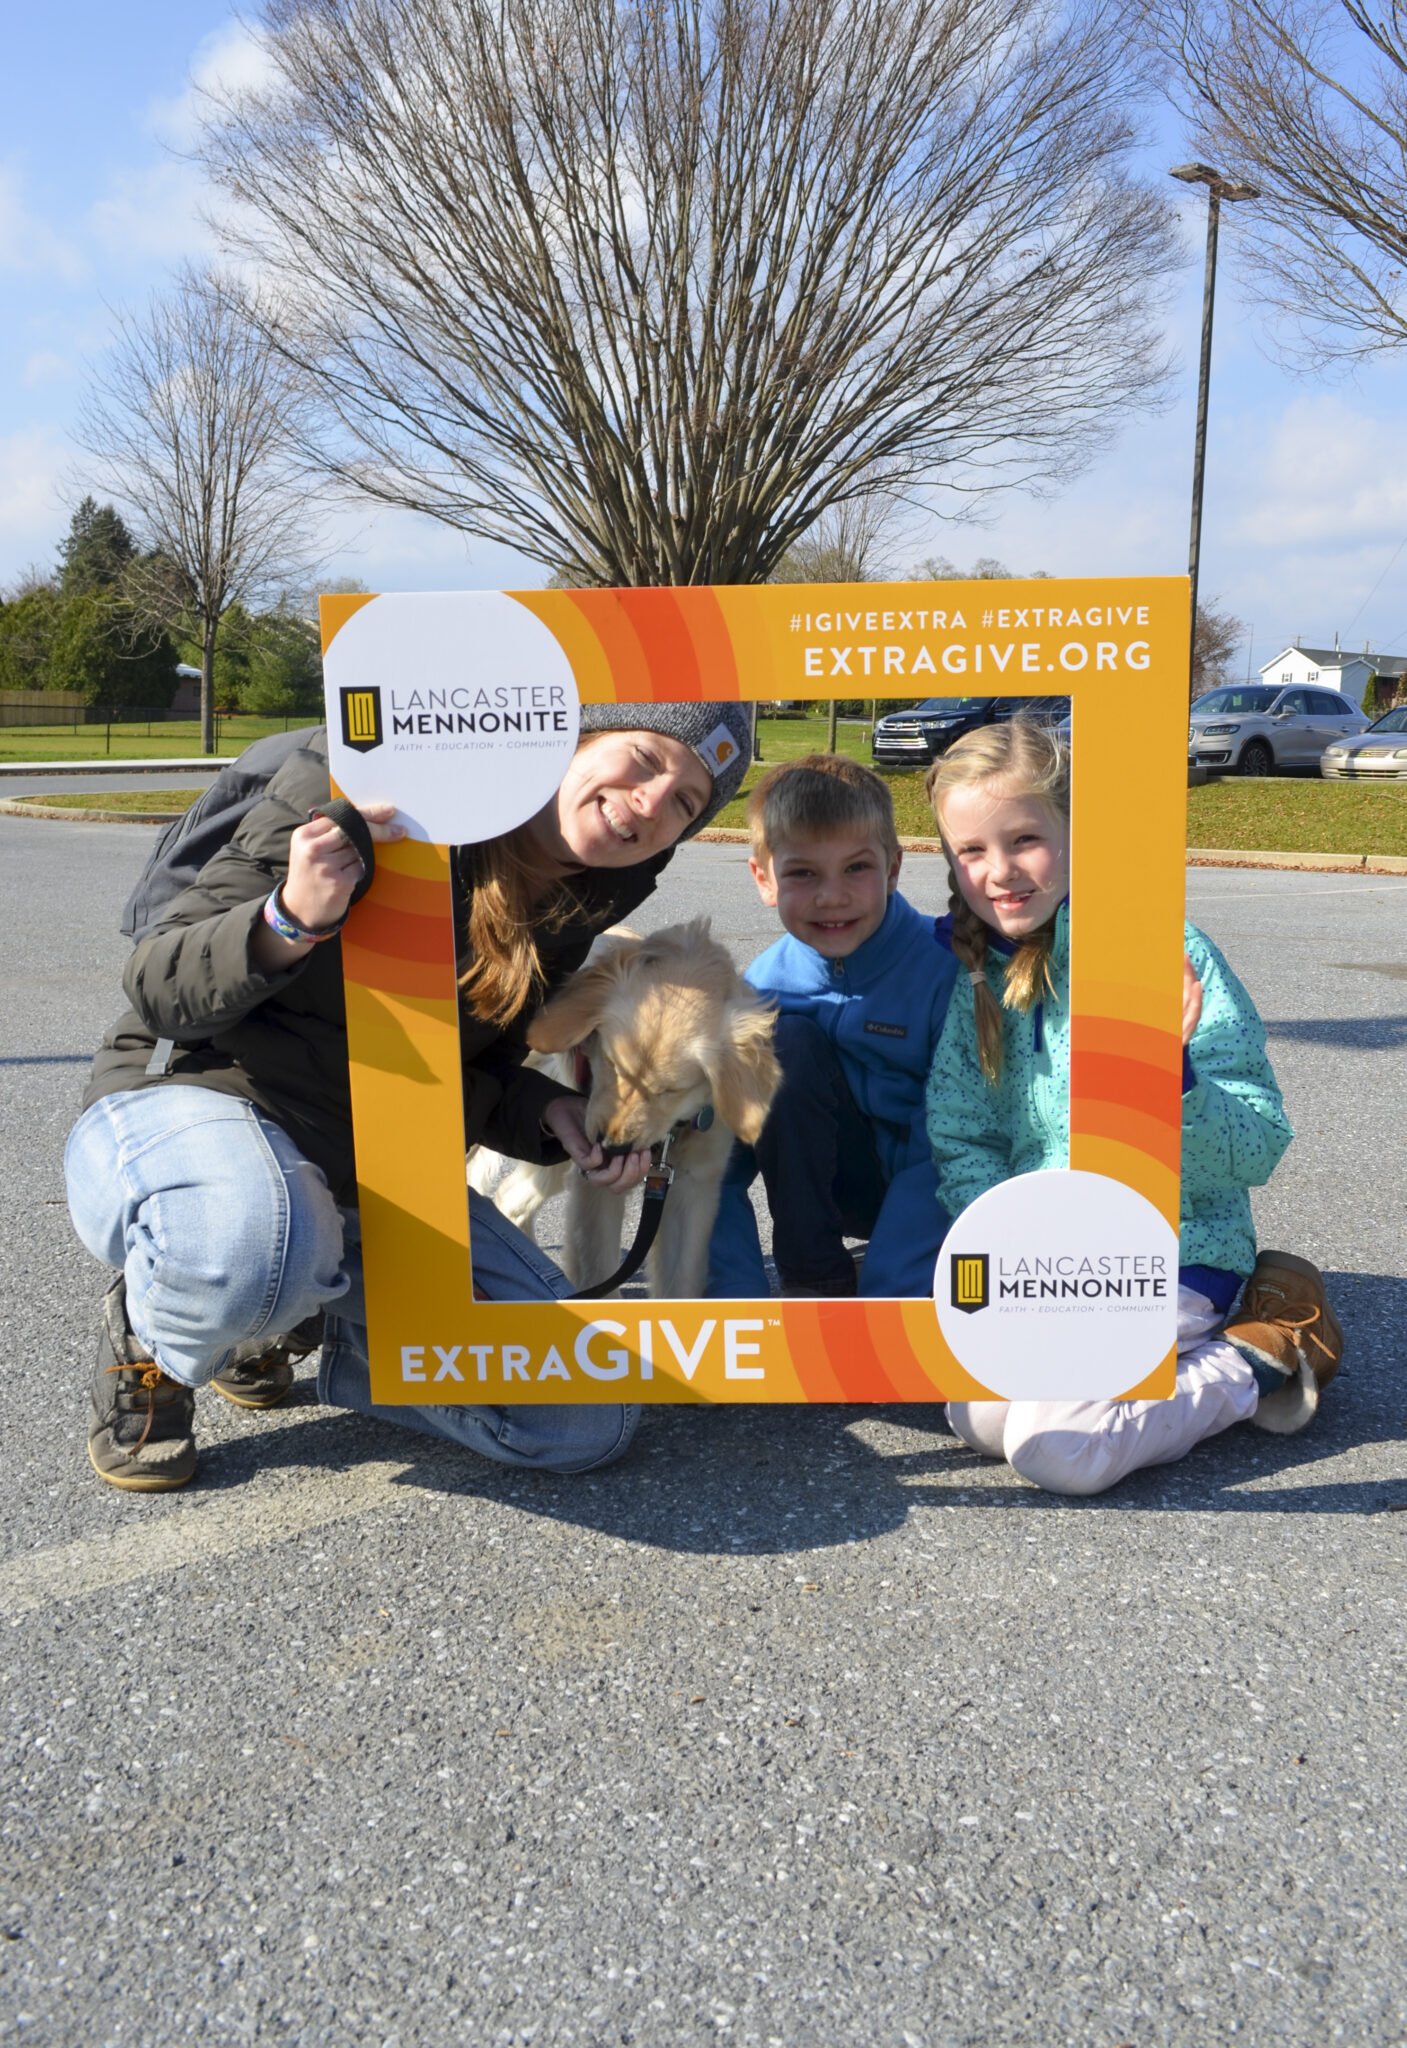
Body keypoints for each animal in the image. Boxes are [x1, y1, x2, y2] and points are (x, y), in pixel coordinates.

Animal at [471, 925, 782, 1294]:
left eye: (669, 1090)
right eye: (611, 1063)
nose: (611, 1149)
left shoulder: (695, 1186)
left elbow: (680, 1285)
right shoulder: (596, 1189)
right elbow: (600, 1273)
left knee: (508, 1198)